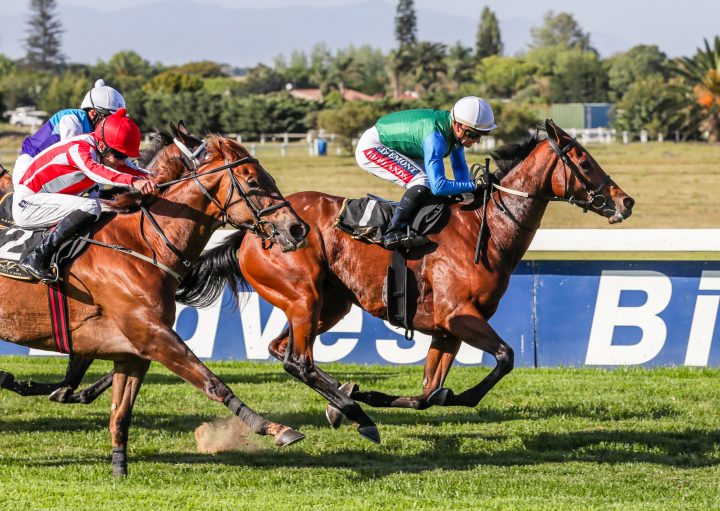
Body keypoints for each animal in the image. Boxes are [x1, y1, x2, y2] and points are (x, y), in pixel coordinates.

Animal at [0, 127, 306, 476]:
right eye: (253, 181)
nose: (297, 228)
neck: (141, 244)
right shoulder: (152, 335)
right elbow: (213, 383)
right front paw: (272, 428)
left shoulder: (131, 352)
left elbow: (119, 413)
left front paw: (119, 468)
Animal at [174, 120, 636, 444]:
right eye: (584, 161)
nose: (625, 201)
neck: (482, 230)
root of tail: (251, 231)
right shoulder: (460, 317)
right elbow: (504, 358)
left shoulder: (448, 329)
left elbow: (430, 393)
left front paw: (374, 395)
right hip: (303, 295)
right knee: (297, 360)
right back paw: (356, 415)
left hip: (330, 304)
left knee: (281, 348)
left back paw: (343, 400)